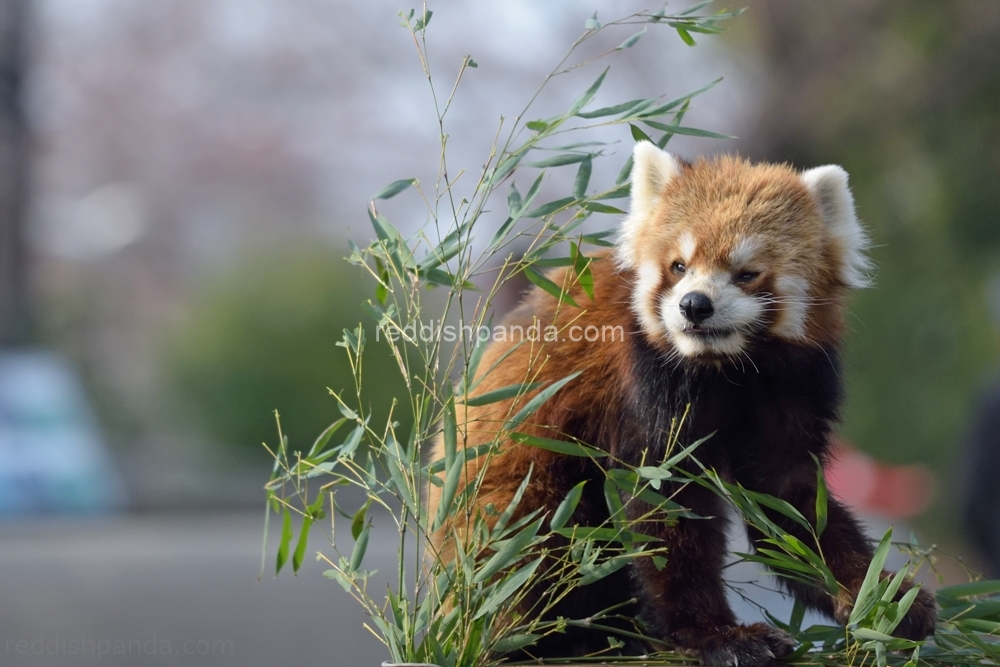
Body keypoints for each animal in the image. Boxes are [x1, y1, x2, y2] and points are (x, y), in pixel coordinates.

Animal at [428, 144, 936, 664]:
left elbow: (790, 503)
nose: (694, 304)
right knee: (533, 538)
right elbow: (664, 505)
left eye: (746, 274)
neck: (728, 367)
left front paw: (880, 597)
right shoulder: (647, 383)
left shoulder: (793, 382)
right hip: (513, 503)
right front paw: (716, 635)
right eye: (678, 266)